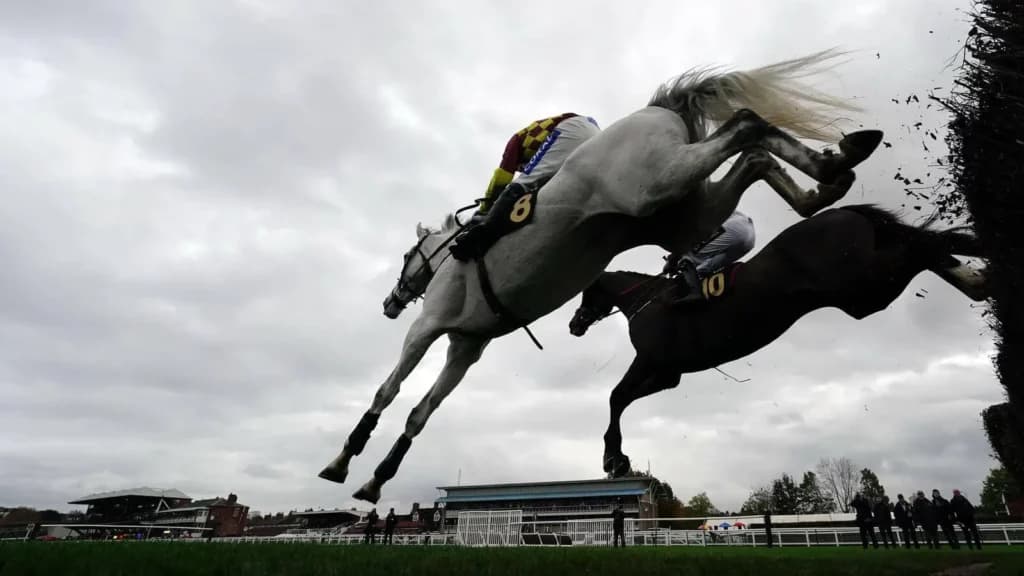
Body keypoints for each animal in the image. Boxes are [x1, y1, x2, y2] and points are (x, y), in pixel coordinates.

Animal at [319, 49, 885, 503]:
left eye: (405, 257)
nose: (390, 303)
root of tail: (660, 108)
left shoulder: (430, 326)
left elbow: (387, 392)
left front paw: (343, 461)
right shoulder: (467, 347)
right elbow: (421, 412)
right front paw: (376, 480)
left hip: (657, 183)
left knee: (745, 126)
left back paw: (834, 163)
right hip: (681, 211)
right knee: (754, 157)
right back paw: (832, 170)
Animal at [567, 204, 988, 477]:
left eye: (584, 294)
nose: (574, 324)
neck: (647, 300)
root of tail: (843, 212)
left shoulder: (653, 360)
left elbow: (616, 397)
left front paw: (614, 460)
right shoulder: (670, 373)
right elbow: (622, 398)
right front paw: (617, 458)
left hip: (864, 286)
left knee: (924, 246)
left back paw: (975, 273)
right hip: (863, 291)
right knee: (926, 243)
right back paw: (975, 276)